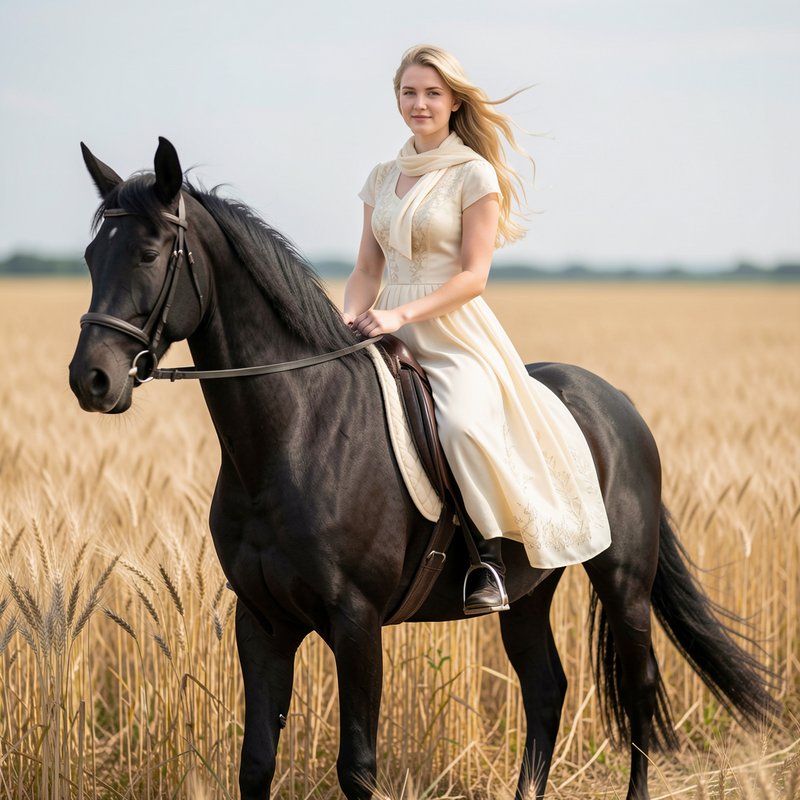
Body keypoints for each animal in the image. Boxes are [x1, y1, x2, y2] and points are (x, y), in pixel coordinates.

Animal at [68, 138, 775, 800]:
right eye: (90, 256)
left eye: (150, 253)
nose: (91, 379)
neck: (294, 434)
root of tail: (616, 402)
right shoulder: (262, 622)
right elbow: (256, 765)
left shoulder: (355, 623)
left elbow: (357, 769)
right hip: (529, 591)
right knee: (546, 688)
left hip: (623, 579)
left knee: (637, 687)